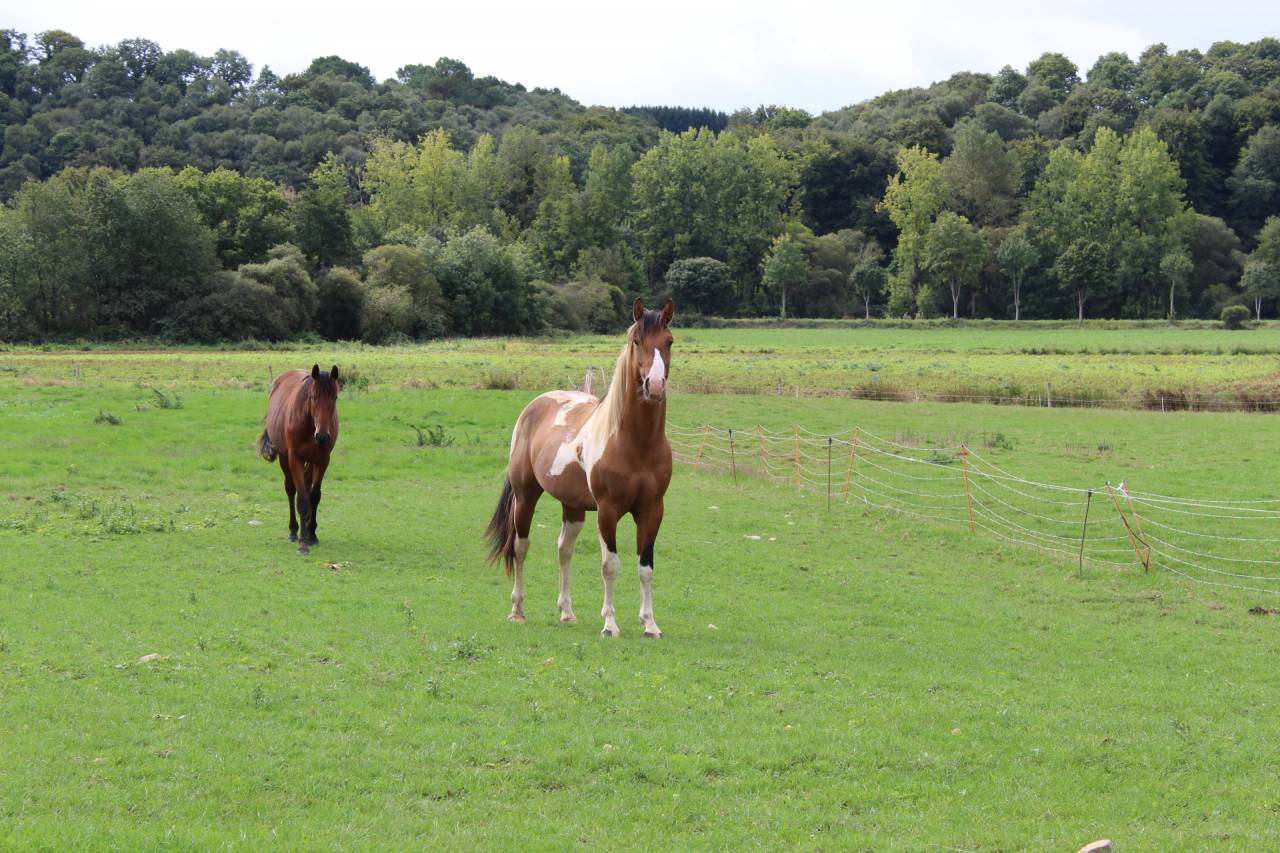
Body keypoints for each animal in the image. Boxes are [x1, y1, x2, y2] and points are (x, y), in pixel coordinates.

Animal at [257, 364, 340, 555]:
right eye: (313, 397)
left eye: (335, 397)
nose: (322, 436)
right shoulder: (295, 459)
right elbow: (301, 500)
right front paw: (303, 543)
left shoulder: (323, 460)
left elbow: (314, 496)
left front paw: (312, 535)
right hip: (285, 458)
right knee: (290, 489)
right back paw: (294, 532)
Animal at [486, 299, 675, 637]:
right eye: (636, 340)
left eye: (669, 341)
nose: (654, 386)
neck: (635, 443)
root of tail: (535, 405)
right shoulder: (608, 511)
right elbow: (610, 566)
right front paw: (610, 625)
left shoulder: (652, 510)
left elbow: (646, 567)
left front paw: (650, 624)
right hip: (525, 498)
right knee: (521, 547)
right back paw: (517, 611)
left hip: (572, 507)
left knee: (564, 550)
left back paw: (566, 612)